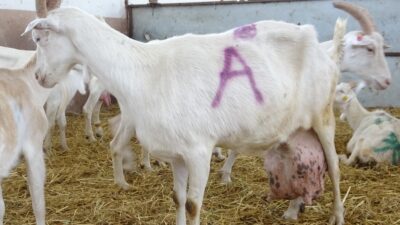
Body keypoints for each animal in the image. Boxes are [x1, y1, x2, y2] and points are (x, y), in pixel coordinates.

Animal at [25, 2, 344, 224]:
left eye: (40, 40)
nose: (38, 77)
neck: (142, 71)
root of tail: (320, 46)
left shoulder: (198, 150)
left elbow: (192, 206)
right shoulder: (176, 153)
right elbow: (177, 198)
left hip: (323, 117)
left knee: (334, 170)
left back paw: (336, 216)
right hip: (293, 128)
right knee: (301, 167)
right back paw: (292, 210)